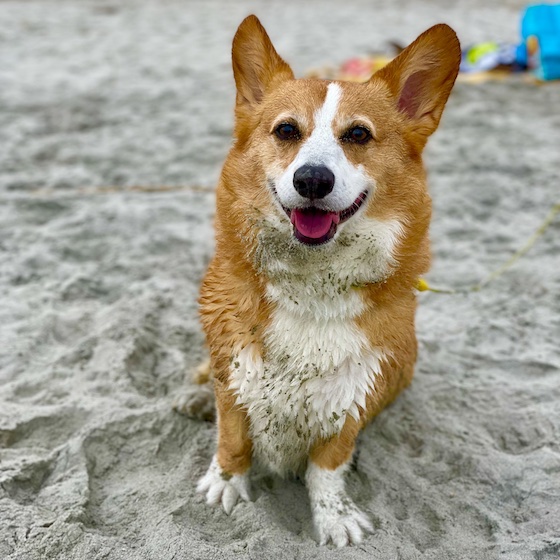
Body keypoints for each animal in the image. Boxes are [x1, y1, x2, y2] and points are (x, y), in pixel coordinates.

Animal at [188, 14, 460, 548]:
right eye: (286, 130)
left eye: (357, 134)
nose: (312, 180)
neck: (312, 284)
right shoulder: (236, 369)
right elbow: (233, 436)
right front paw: (226, 480)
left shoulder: (357, 390)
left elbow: (328, 465)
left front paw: (334, 516)